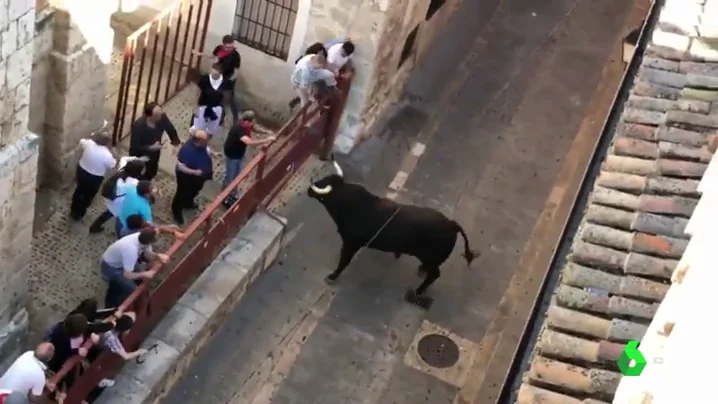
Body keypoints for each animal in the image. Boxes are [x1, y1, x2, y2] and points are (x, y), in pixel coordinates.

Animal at [308, 161, 480, 310]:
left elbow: (344, 261)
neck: (349, 203)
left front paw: (332, 276)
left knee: (435, 274)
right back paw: (421, 270)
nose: (309, 190)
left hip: (431, 258)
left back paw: (418, 290)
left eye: (323, 186)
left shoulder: (351, 243)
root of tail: (451, 223)